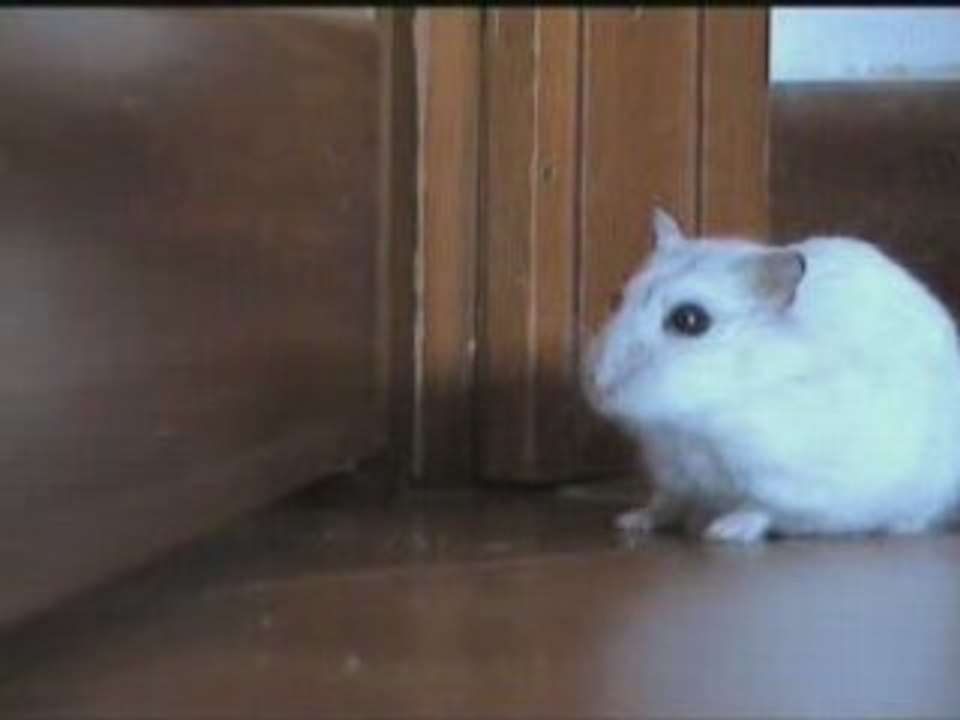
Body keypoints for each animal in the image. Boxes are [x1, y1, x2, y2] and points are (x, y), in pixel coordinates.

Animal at [582, 208, 960, 544]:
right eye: (615, 300)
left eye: (689, 320)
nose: (599, 387)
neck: (697, 421)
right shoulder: (674, 475)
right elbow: (664, 503)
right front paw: (631, 522)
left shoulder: (787, 483)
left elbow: (762, 509)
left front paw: (721, 532)